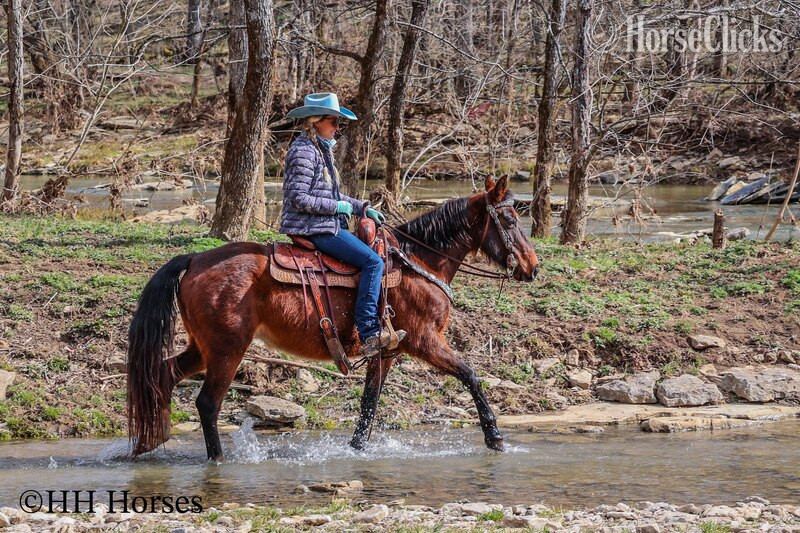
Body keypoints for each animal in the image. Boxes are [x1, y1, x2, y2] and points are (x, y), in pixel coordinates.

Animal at [127, 175, 540, 461]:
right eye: (508, 218)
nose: (532, 267)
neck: (418, 263)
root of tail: (195, 259)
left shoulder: (386, 353)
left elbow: (369, 404)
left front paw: (356, 450)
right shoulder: (424, 340)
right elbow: (470, 374)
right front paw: (494, 437)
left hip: (203, 348)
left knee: (162, 375)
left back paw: (152, 440)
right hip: (228, 350)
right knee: (208, 404)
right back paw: (217, 459)